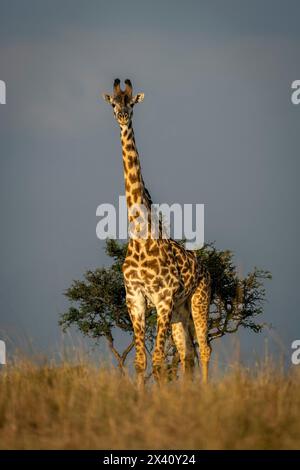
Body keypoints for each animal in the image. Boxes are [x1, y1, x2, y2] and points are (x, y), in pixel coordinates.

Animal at [103, 79, 211, 388]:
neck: (140, 237)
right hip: (179, 313)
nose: (122, 117)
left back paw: (206, 391)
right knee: (187, 354)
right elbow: (141, 361)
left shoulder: (163, 299)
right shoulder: (135, 299)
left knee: (204, 348)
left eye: (131, 104)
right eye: (113, 103)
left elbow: (159, 360)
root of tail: (206, 269)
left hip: (198, 301)